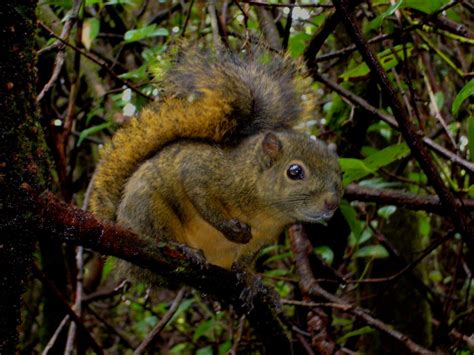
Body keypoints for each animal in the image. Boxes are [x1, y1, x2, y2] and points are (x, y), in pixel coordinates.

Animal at [89, 50, 342, 272]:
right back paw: (182, 249)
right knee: (158, 236)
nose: (331, 203)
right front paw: (230, 229)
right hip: (148, 208)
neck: (266, 211)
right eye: (294, 171)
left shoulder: (265, 237)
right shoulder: (204, 171)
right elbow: (200, 195)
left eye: (340, 175)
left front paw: (250, 280)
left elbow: (247, 260)